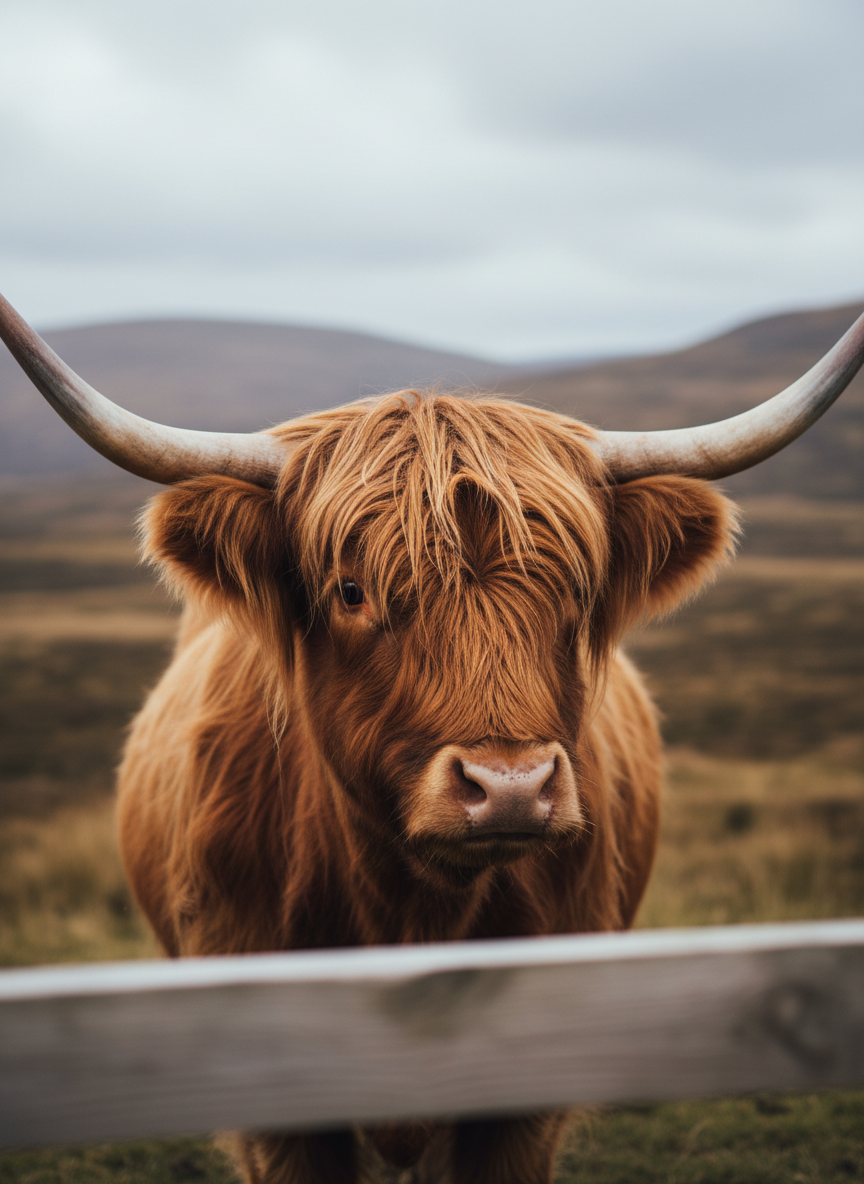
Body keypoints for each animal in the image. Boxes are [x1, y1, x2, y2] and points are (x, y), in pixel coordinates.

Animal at [2, 290, 863, 1184]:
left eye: (576, 589)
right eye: (351, 589)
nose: (511, 787)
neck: (410, 917)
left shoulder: (529, 1096)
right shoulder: (271, 1097)